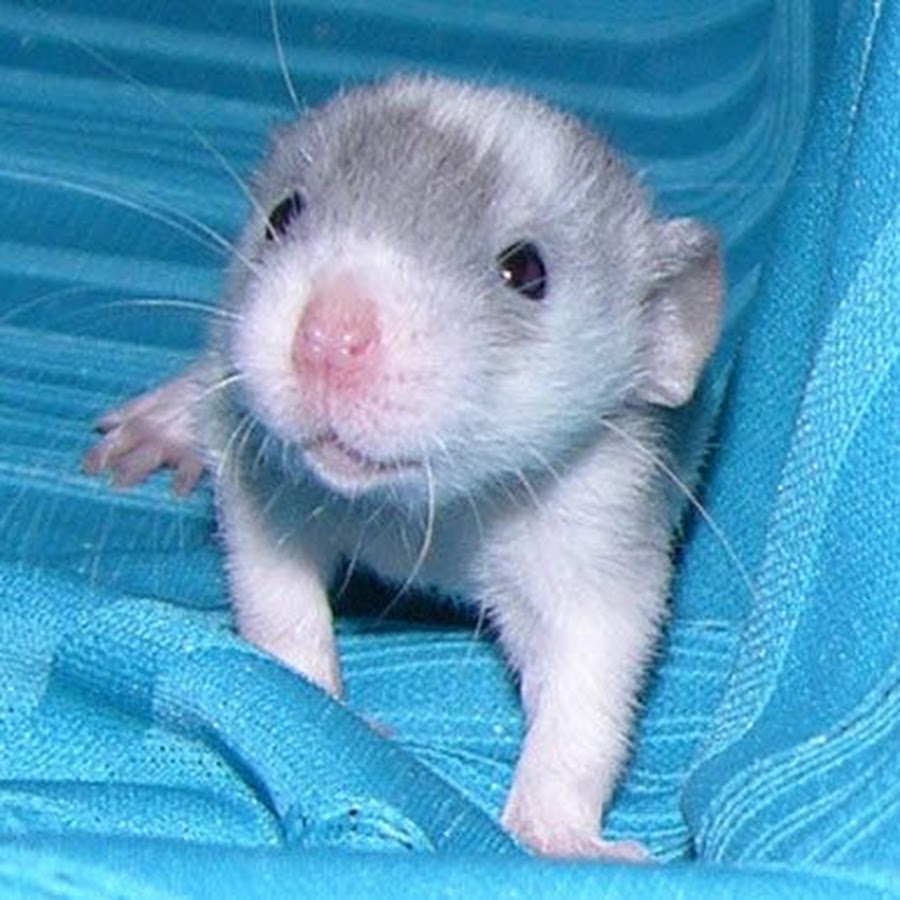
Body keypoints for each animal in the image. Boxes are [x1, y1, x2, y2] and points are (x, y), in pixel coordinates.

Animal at [84, 75, 722, 860]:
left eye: (526, 270)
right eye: (282, 215)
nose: (330, 337)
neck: (421, 508)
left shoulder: (596, 504)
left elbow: (595, 653)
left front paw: (557, 826)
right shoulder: (270, 473)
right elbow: (274, 583)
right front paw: (315, 705)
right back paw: (171, 417)